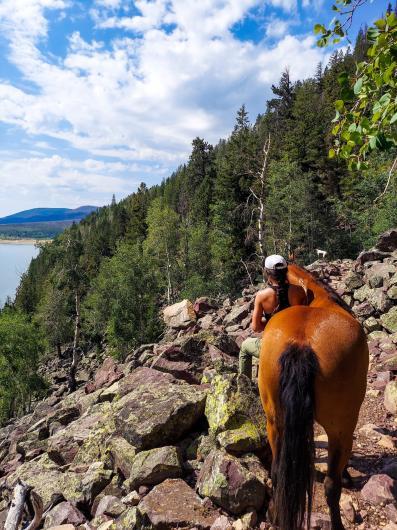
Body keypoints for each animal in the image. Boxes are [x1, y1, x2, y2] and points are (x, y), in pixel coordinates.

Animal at [256, 262, 368, 524]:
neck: (321, 299)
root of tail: (301, 344)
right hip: (342, 426)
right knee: (331, 485)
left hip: (274, 422)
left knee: (277, 471)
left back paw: (274, 514)